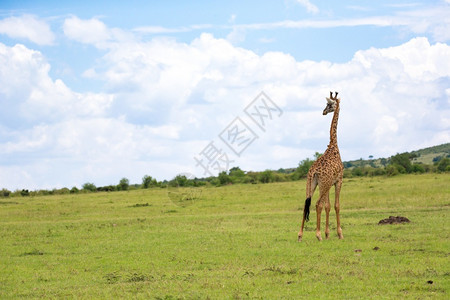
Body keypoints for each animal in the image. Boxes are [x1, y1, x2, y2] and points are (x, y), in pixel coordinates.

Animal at [298, 91, 344, 241]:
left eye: (329, 104)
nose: (324, 112)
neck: (333, 146)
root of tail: (313, 172)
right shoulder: (338, 180)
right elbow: (336, 205)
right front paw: (339, 234)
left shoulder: (329, 183)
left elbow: (328, 206)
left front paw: (328, 234)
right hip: (322, 184)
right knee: (317, 204)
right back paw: (318, 235)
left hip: (311, 183)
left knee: (306, 204)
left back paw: (300, 235)